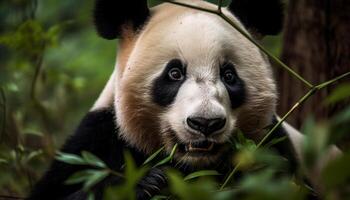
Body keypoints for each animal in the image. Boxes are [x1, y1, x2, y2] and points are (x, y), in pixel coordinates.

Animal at [26, 0, 340, 200]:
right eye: (174, 73)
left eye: (229, 75)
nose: (205, 123)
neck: (191, 164)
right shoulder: (100, 137)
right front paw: (146, 182)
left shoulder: (272, 145)